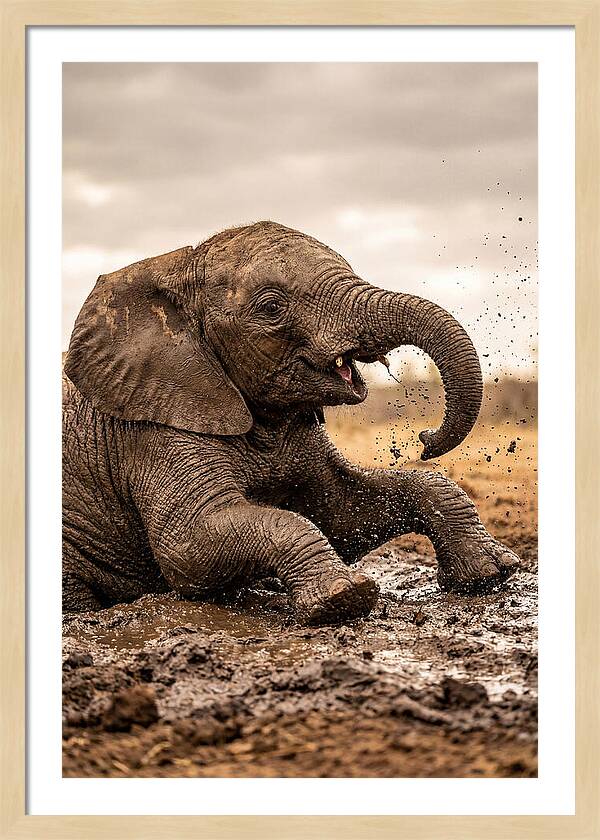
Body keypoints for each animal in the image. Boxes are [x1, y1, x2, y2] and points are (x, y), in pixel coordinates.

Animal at [62, 220, 520, 624]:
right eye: (271, 308)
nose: (425, 439)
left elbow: (343, 512)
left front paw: (492, 573)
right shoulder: (154, 430)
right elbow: (188, 548)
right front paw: (343, 598)